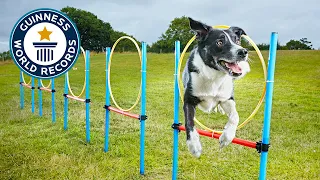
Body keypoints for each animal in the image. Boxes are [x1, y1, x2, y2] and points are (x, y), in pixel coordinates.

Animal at [182, 17, 250, 157]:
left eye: (237, 40)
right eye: (220, 42)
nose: (243, 51)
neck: (214, 76)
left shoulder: (227, 98)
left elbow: (235, 116)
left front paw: (226, 138)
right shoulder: (189, 100)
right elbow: (189, 122)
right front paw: (194, 146)